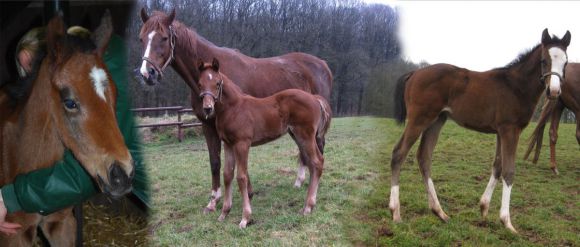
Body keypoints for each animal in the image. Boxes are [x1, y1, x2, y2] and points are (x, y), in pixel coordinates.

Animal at [197, 58, 330, 228]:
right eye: (200, 83)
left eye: (218, 83)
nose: (208, 108)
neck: (234, 108)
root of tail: (314, 98)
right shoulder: (228, 144)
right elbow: (227, 175)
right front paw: (224, 213)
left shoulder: (242, 144)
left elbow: (241, 177)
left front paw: (245, 218)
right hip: (300, 137)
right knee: (313, 163)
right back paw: (309, 203)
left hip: (305, 136)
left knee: (317, 161)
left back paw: (307, 206)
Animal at [390, 29, 572, 233]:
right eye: (544, 60)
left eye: (565, 62)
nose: (554, 92)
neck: (516, 86)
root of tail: (415, 72)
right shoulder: (510, 130)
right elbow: (509, 171)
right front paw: (507, 222)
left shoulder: (501, 132)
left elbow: (498, 167)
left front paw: (484, 209)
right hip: (419, 119)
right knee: (399, 153)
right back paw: (396, 212)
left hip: (436, 121)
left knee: (424, 157)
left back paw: (440, 212)